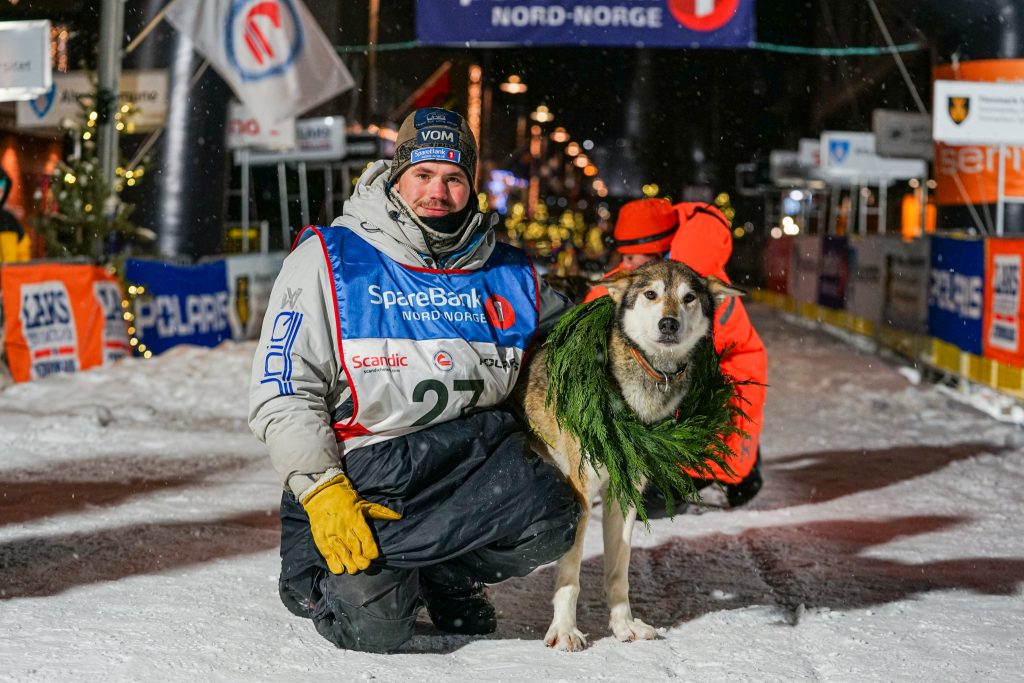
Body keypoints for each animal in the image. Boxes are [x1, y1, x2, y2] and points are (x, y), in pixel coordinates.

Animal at [516, 262, 741, 651]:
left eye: (689, 297)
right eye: (650, 294)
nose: (669, 323)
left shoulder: (624, 493)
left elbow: (618, 571)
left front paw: (624, 625)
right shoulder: (581, 493)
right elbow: (570, 575)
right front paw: (565, 630)